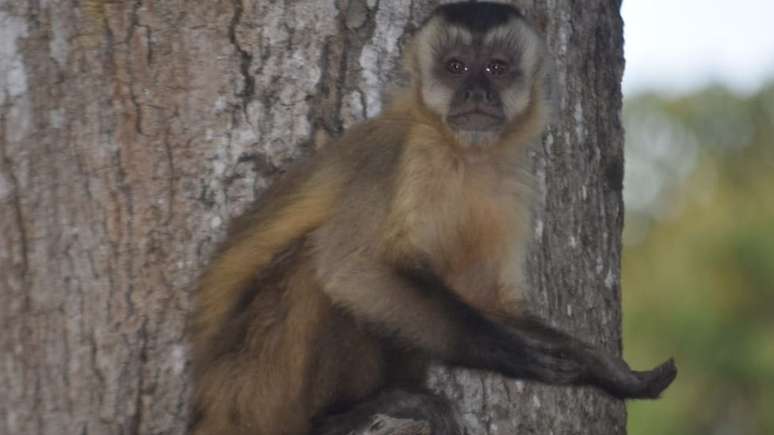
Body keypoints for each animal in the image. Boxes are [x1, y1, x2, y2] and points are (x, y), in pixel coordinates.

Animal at [189, 1, 680, 434]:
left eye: (496, 68)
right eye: (457, 67)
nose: (477, 93)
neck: (462, 154)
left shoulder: (514, 183)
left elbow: (487, 301)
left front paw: (602, 367)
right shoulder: (398, 155)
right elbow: (353, 269)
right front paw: (511, 352)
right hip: (252, 388)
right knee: (319, 270)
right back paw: (345, 414)